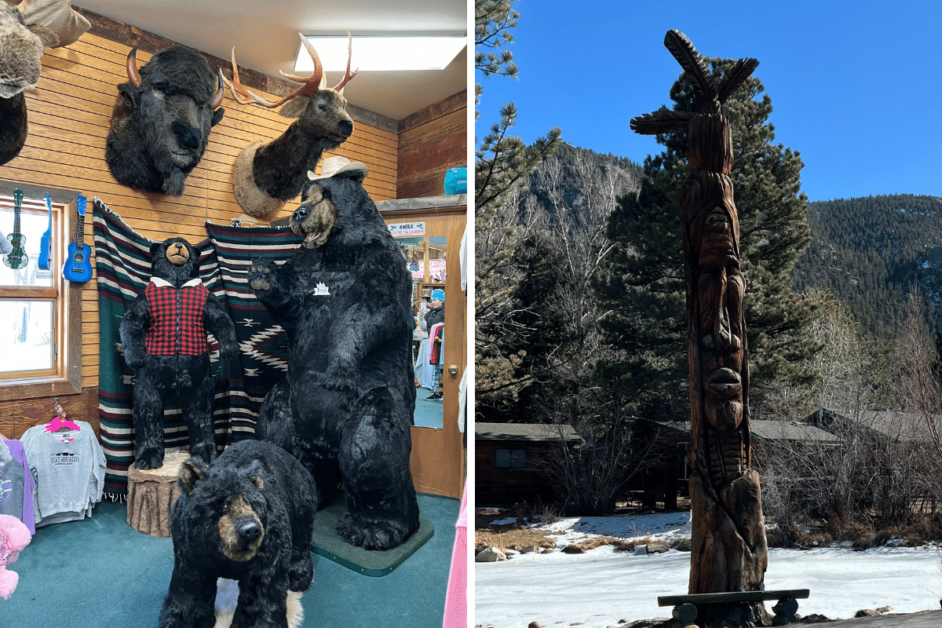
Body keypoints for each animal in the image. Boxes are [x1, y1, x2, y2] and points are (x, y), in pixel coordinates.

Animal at [118, 238, 242, 468]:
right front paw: (136, 358)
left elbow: (221, 319)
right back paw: (148, 460)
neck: (176, 285)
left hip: (200, 385)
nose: (177, 244)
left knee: (202, 416)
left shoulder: (208, 300)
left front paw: (229, 349)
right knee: (147, 415)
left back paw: (206, 455)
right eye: (167, 243)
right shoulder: (144, 299)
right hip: (150, 385)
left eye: (184, 243)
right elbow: (131, 322)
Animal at [156, 440, 318, 628]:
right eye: (225, 505)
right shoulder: (190, 550)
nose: (251, 529)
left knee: (301, 541)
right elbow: (190, 590)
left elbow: (260, 597)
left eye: (252, 504)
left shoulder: (268, 551)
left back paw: (298, 577)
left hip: (301, 504)